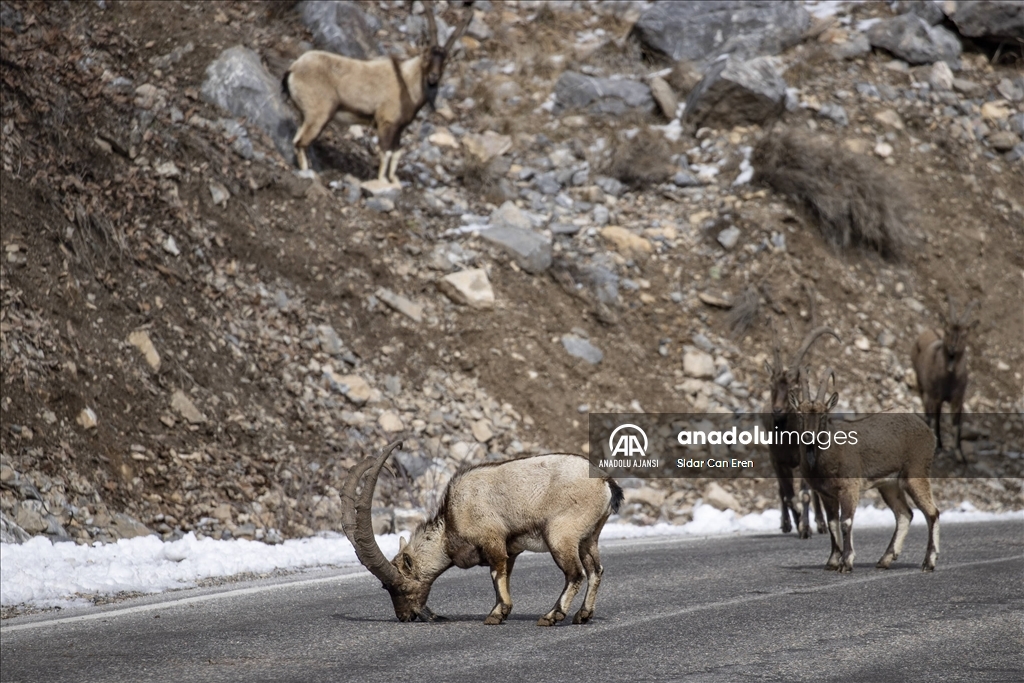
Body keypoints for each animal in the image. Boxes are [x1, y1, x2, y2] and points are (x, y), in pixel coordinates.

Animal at [280, 1, 471, 183]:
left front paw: (393, 180)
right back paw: (307, 173)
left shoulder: (398, 128)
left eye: (445, 61)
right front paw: (381, 181)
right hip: (319, 115)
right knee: (300, 142)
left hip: (306, 116)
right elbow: (385, 152)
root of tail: (293, 69)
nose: (433, 77)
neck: (405, 81)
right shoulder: (386, 123)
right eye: (426, 55)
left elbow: (396, 153)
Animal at [342, 444, 622, 626]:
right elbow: (505, 574)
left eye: (398, 586)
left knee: (575, 574)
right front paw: (501, 611)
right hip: (589, 537)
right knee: (595, 570)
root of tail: (605, 482)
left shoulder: (492, 540)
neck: (451, 522)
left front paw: (497, 614)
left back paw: (551, 616)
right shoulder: (511, 550)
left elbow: (496, 574)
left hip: (561, 535)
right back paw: (583, 615)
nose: (404, 617)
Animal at [761, 321, 839, 540]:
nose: (777, 410)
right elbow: (788, 496)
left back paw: (819, 523)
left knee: (813, 491)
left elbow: (804, 494)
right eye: (771, 385)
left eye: (793, 387)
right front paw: (796, 522)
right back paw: (788, 523)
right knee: (783, 492)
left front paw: (805, 528)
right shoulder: (777, 461)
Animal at [790, 370, 942, 573]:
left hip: (916, 472)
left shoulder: (849, 488)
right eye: (800, 414)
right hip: (889, 485)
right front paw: (832, 561)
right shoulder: (826, 494)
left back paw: (929, 562)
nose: (809, 436)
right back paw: (885, 559)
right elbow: (832, 523)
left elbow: (845, 521)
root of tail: (927, 430)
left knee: (932, 512)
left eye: (823, 415)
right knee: (904, 514)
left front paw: (846, 562)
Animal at [917, 294, 978, 458]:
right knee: (927, 410)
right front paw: (939, 447)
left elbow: (957, 425)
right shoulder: (937, 398)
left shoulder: (958, 399)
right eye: (947, 331)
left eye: (964, 334)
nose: (952, 348)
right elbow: (937, 420)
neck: (950, 379)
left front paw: (960, 455)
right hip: (921, 385)